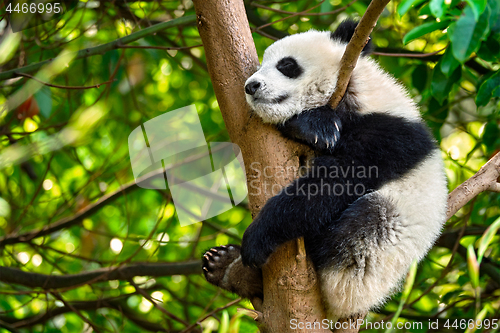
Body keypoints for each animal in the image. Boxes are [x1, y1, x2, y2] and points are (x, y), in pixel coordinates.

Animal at [201, 20, 448, 320]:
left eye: (287, 65)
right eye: (260, 66)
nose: (251, 86)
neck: (355, 91)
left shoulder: (388, 134)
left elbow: (338, 180)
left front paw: (258, 236)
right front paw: (311, 128)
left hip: (380, 249)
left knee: (362, 226)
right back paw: (226, 267)